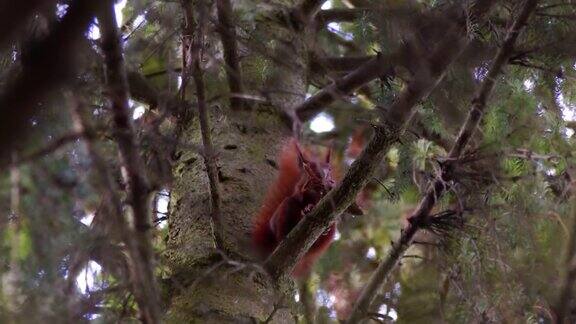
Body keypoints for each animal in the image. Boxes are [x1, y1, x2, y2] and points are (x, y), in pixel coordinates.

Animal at [252, 139, 360, 276]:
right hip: (283, 214)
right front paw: (307, 207)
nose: (324, 176)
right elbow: (299, 195)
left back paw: (325, 229)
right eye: (310, 166)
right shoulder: (300, 188)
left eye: (330, 169)